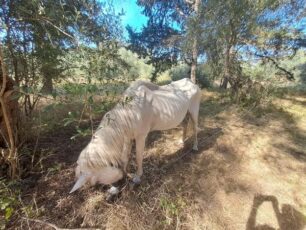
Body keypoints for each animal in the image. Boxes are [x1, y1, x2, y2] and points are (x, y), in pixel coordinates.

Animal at [69, 78, 201, 195]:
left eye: (95, 180)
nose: (115, 187)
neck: (129, 112)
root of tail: (191, 82)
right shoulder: (127, 137)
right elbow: (124, 158)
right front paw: (127, 172)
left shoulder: (140, 137)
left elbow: (138, 156)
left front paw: (137, 177)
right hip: (185, 113)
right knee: (185, 124)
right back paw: (181, 142)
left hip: (194, 112)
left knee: (195, 128)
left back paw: (195, 147)